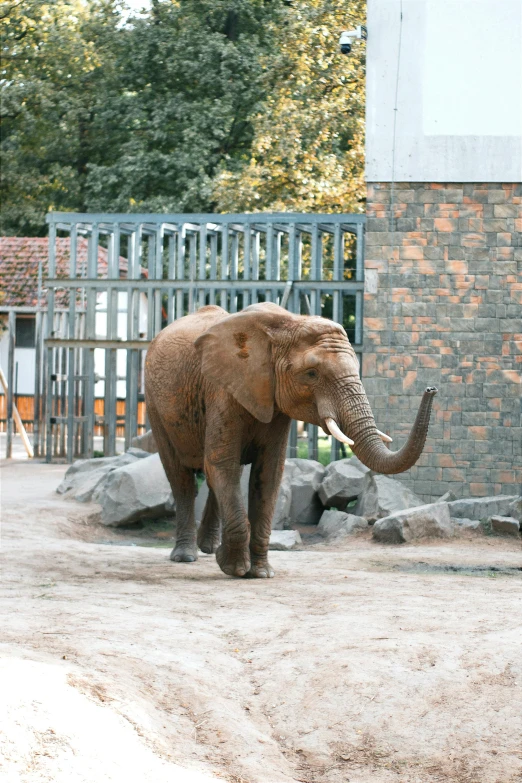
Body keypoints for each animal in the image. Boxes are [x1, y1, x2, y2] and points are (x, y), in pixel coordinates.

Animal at [143, 304, 434, 580]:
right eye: (312, 373)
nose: (431, 389)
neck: (287, 322)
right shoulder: (222, 392)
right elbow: (222, 463)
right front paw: (234, 568)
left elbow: (268, 473)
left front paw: (261, 573)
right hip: (154, 402)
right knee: (181, 478)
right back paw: (186, 557)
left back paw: (208, 549)